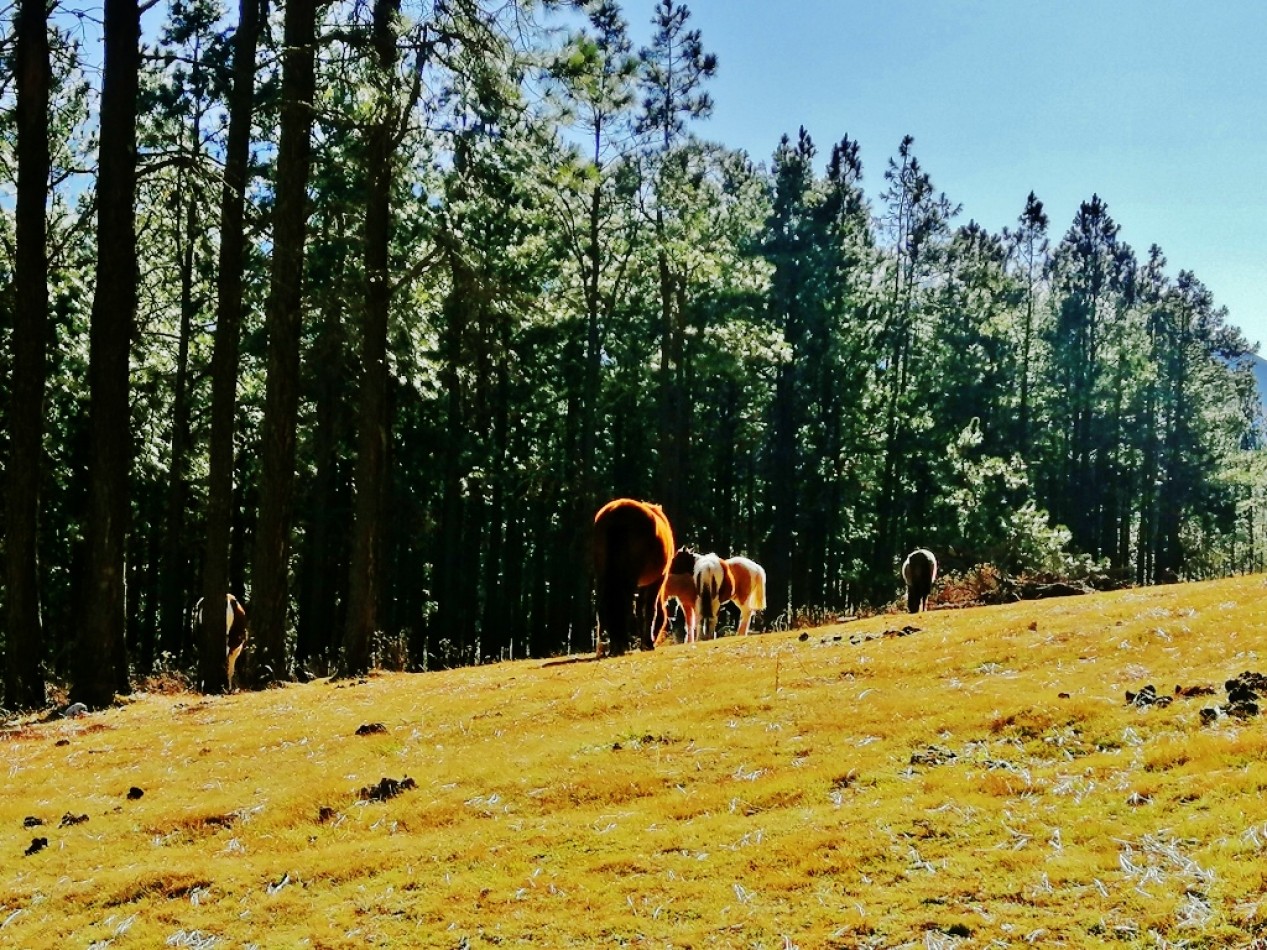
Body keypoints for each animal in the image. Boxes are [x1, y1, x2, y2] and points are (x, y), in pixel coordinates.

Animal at [590, 501, 674, 658]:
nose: (657, 639)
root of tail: (618, 512)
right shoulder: (657, 580)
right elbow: (649, 610)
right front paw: (647, 643)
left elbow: (640, 610)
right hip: (630, 578)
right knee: (626, 604)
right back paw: (621, 644)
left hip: (603, 576)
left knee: (604, 606)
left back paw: (612, 645)